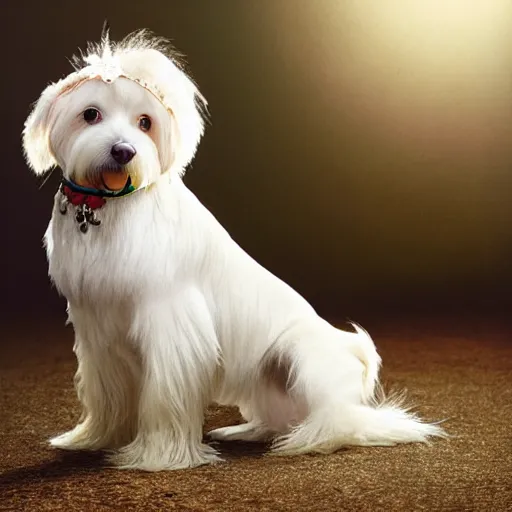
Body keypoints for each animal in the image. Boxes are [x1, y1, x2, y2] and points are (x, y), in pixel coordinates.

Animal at [22, 29, 444, 472]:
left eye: (145, 123)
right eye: (90, 114)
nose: (124, 150)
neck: (105, 208)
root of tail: (352, 352)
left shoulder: (171, 324)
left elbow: (164, 398)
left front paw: (159, 456)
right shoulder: (98, 332)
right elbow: (106, 395)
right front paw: (94, 438)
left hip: (298, 353)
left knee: (345, 420)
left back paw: (309, 438)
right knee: (282, 419)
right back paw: (245, 431)